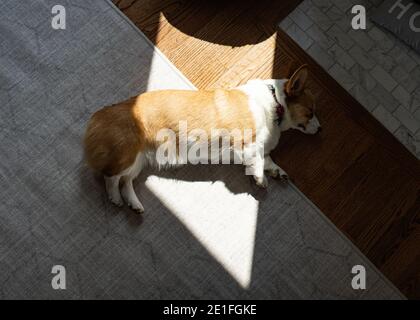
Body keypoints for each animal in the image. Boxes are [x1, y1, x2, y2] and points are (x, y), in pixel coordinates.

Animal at [84, 64, 322, 212]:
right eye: (310, 112)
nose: (320, 129)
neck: (275, 103)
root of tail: (98, 116)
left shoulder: (259, 148)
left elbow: (268, 159)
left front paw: (277, 172)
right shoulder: (247, 143)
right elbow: (258, 160)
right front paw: (260, 179)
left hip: (138, 161)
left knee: (126, 182)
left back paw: (134, 204)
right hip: (128, 156)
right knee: (110, 177)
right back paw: (115, 198)